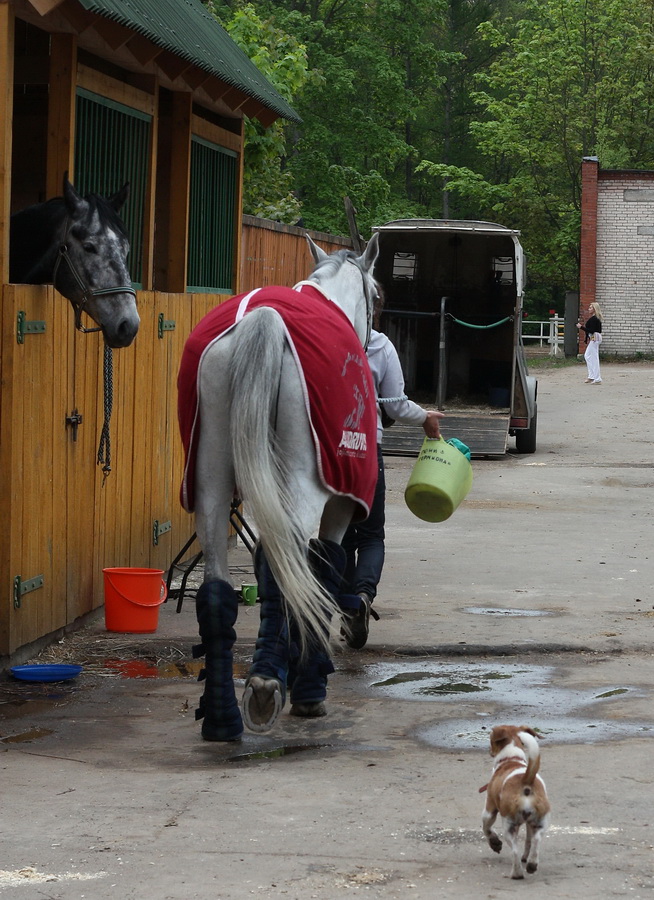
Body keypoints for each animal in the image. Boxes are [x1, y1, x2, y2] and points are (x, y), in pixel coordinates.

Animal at [179, 232, 384, 740]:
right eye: (378, 295)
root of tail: (263, 318)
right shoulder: (339, 506)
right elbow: (324, 566)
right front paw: (307, 685)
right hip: (302, 488)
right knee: (284, 558)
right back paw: (267, 687)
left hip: (209, 483)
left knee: (217, 585)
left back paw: (222, 717)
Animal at [482, 724, 552, 880]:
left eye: (490, 740)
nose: (488, 751)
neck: (511, 759)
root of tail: (526, 780)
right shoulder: (529, 824)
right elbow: (528, 841)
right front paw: (526, 858)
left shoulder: (489, 810)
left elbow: (486, 828)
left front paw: (494, 843)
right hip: (540, 823)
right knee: (536, 841)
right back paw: (531, 864)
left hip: (508, 826)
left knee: (514, 851)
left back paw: (517, 873)